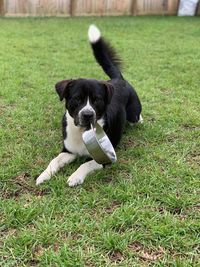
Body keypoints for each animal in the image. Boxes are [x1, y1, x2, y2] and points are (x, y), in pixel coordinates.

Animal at [36, 25, 142, 188]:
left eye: (97, 100)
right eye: (77, 99)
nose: (87, 115)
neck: (81, 131)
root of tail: (118, 78)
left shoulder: (105, 158)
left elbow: (85, 164)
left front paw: (75, 177)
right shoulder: (68, 150)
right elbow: (54, 161)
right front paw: (44, 175)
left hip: (133, 113)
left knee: (136, 117)